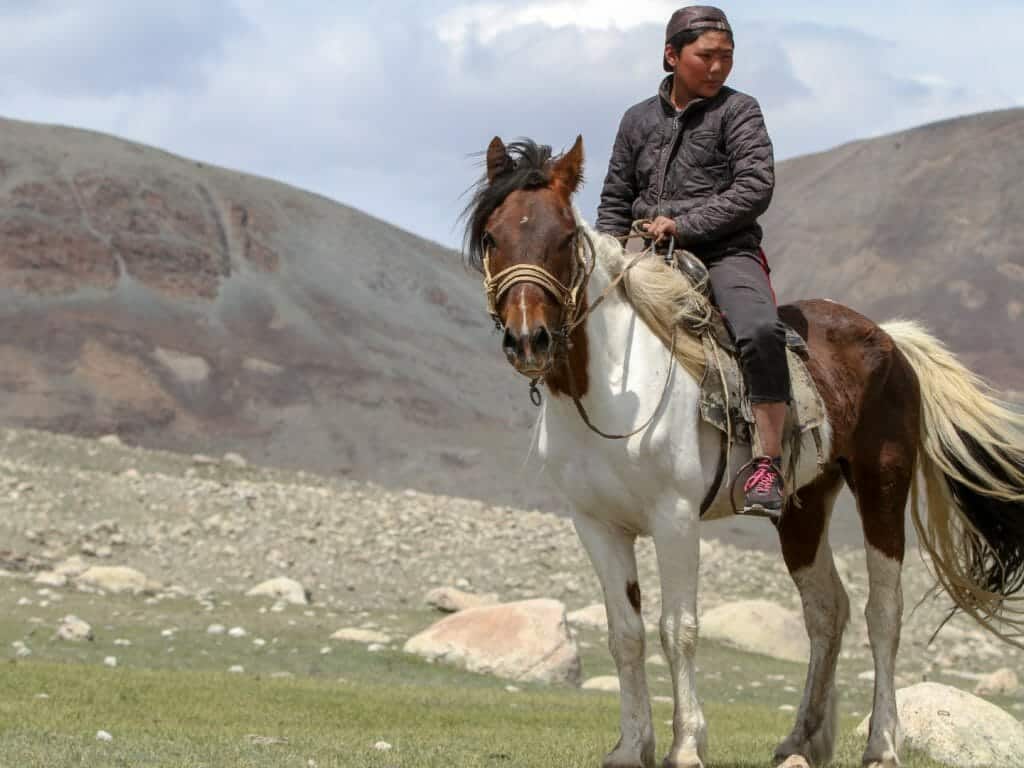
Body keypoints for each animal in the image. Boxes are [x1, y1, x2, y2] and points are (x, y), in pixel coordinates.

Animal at [461, 135, 1024, 768]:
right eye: (492, 237)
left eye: (563, 238)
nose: (528, 339)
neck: (606, 390)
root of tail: (891, 340)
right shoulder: (597, 525)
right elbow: (624, 633)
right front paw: (631, 746)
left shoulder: (675, 518)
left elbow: (677, 628)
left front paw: (686, 745)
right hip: (803, 507)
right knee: (827, 611)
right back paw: (800, 740)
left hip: (882, 486)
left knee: (883, 612)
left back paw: (881, 742)